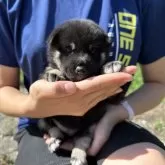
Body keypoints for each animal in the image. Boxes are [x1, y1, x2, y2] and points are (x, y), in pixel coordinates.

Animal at [38, 19, 124, 165]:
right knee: (51, 127)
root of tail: (70, 133)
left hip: (89, 127)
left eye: (93, 49)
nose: (80, 69)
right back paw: (55, 139)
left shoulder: (109, 99)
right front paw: (54, 73)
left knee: (81, 141)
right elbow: (49, 70)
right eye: (68, 48)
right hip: (41, 118)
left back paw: (77, 156)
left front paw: (110, 65)